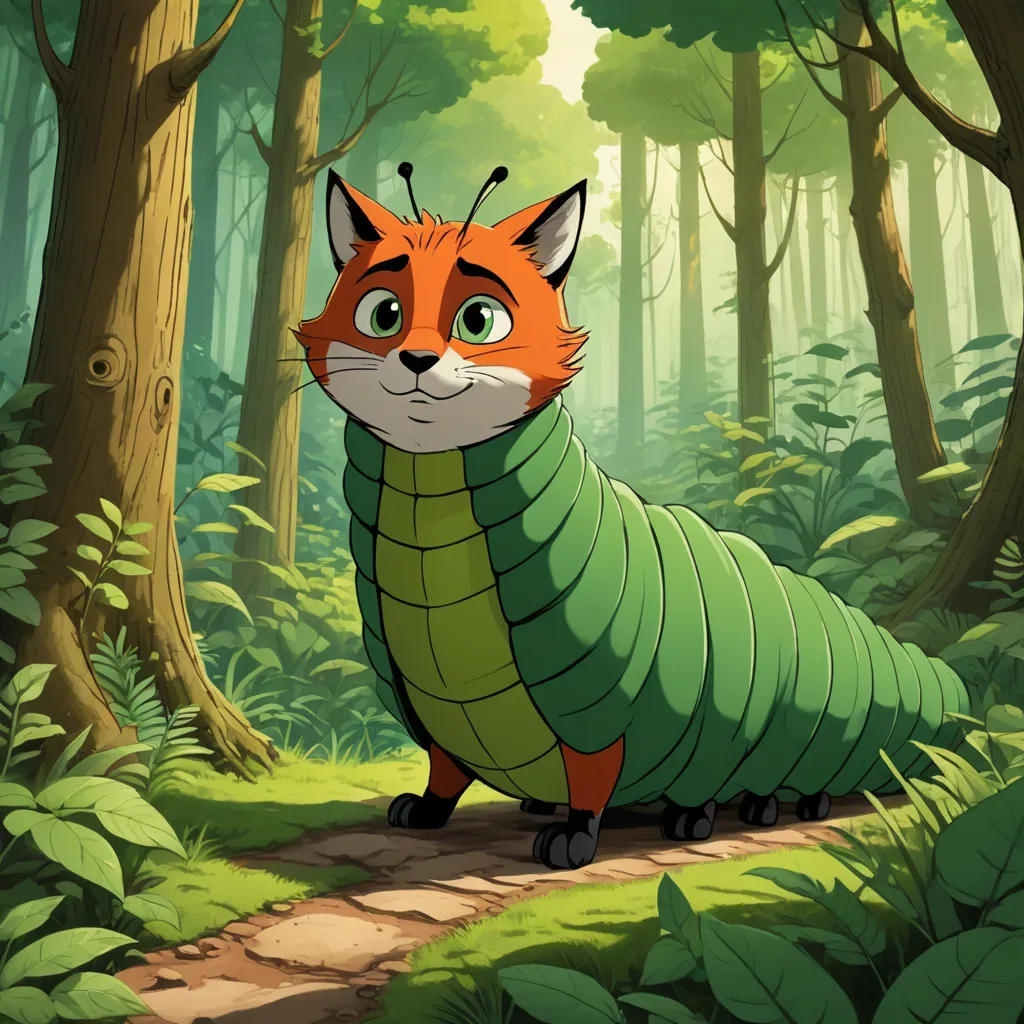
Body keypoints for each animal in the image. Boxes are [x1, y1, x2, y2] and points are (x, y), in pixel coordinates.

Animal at [296, 164, 968, 870]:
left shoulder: (602, 703)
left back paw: (723, 812)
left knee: (759, 782)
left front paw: (574, 837)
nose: (417, 360)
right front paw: (425, 809)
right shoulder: (426, 706)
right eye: (384, 313)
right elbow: (443, 767)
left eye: (478, 318)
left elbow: (595, 772)